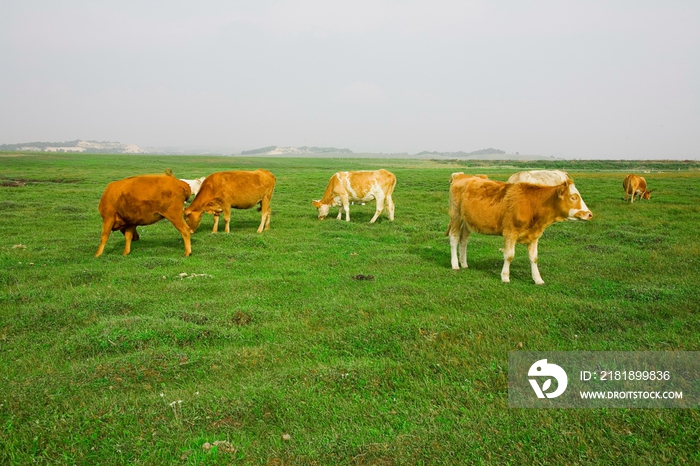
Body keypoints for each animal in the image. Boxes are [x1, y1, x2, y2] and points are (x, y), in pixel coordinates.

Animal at [448, 175, 592, 284]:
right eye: (573, 197)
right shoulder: (510, 233)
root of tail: (461, 175)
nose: (589, 214)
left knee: (463, 240)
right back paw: (455, 265)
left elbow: (534, 258)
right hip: (456, 216)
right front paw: (505, 277)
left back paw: (464, 263)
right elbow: (509, 255)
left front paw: (538, 279)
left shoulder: (534, 235)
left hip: (467, 221)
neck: (533, 204)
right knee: (454, 238)